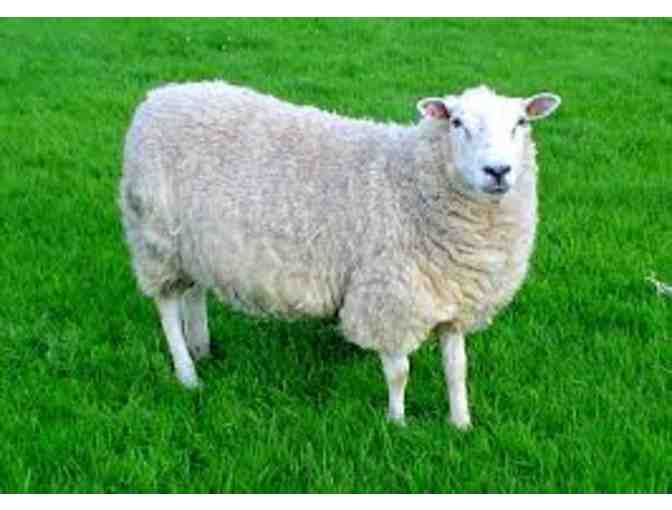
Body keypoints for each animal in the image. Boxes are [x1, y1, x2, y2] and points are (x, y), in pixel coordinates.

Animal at [119, 81, 561, 428]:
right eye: (456, 123)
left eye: (521, 123)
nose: (498, 171)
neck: (411, 184)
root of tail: (158, 96)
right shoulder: (389, 296)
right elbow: (399, 372)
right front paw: (397, 423)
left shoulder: (450, 295)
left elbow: (457, 369)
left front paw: (461, 423)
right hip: (154, 238)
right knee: (167, 306)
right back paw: (187, 372)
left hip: (192, 244)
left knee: (194, 293)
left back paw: (202, 348)